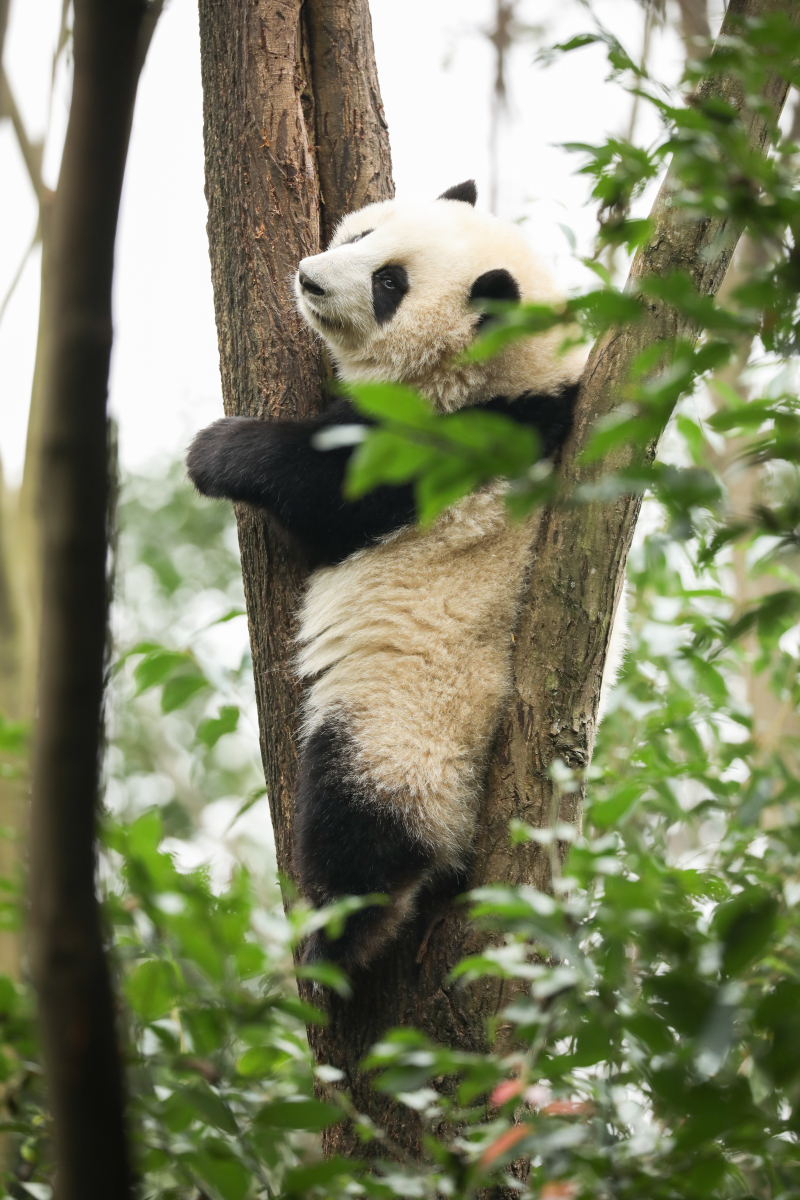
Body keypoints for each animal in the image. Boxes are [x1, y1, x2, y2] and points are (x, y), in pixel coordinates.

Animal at [185, 180, 587, 974]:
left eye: (389, 284)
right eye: (361, 235)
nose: (309, 277)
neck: (511, 378)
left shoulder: (457, 446)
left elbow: (329, 490)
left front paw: (216, 451)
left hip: (406, 727)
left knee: (361, 823)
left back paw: (340, 936)